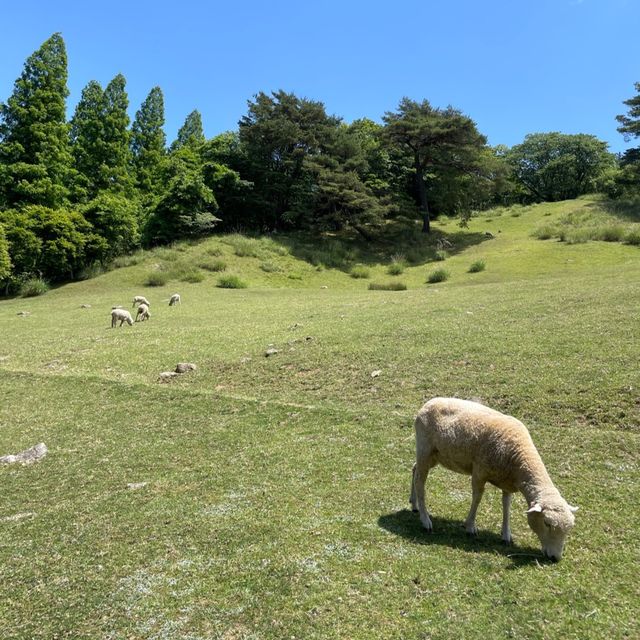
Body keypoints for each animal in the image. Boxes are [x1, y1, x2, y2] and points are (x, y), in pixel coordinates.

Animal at [412, 398, 576, 564]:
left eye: (569, 528)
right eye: (547, 523)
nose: (555, 558)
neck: (519, 458)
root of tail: (428, 403)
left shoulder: (507, 483)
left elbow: (506, 505)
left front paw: (506, 535)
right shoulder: (479, 471)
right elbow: (477, 498)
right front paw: (470, 526)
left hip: (434, 456)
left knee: (414, 469)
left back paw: (414, 504)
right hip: (425, 450)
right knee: (420, 482)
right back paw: (425, 520)